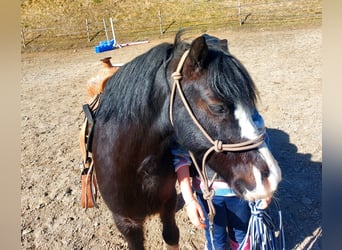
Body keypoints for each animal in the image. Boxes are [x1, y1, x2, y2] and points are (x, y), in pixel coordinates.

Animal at [91, 32, 280, 249]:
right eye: (217, 107)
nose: (271, 177)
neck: (135, 164)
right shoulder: (126, 221)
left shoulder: (167, 204)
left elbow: (171, 236)